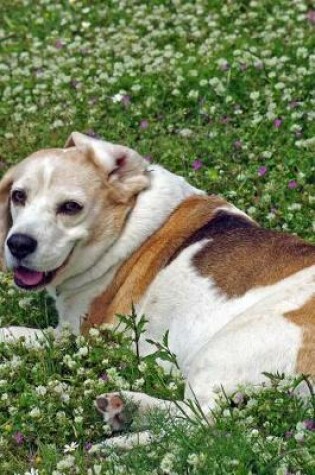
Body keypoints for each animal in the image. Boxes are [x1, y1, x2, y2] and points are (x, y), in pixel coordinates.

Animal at [0, 132, 314, 448]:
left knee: (194, 427)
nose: (18, 244)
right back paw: (123, 407)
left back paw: (116, 444)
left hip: (227, 346)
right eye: (18, 196)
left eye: (71, 207)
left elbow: (12, 332)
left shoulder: (77, 335)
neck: (127, 222)